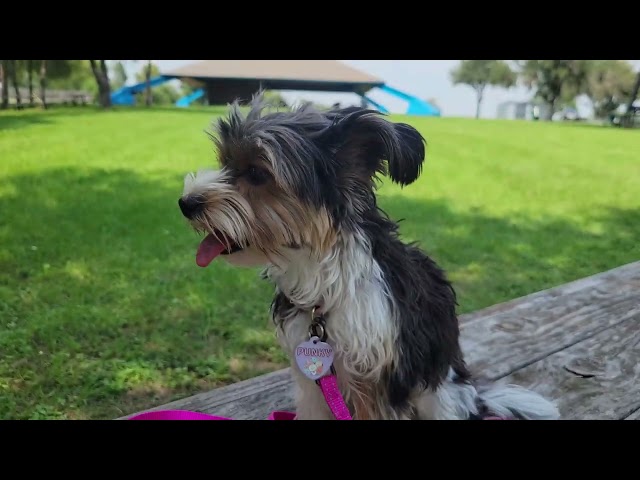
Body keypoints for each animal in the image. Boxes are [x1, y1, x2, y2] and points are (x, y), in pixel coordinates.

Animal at [179, 95, 560, 418]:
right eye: (224, 161)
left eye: (258, 173)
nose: (186, 203)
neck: (325, 282)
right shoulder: (314, 377)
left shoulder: (381, 378)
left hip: (441, 394)